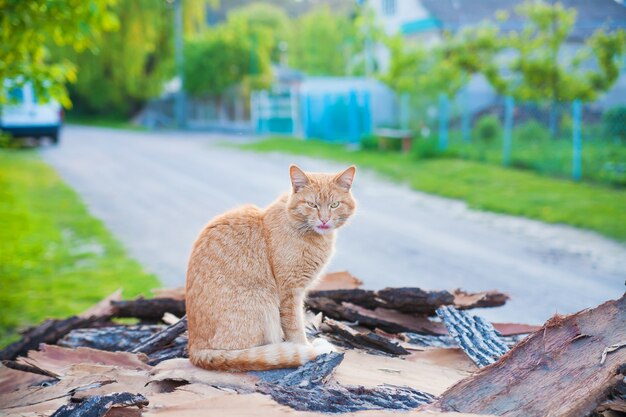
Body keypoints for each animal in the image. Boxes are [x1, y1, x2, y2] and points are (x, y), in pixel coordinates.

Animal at [185, 164, 356, 368]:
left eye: (334, 205)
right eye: (311, 204)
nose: (324, 220)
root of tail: (194, 349)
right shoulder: (290, 291)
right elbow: (295, 327)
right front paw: (306, 347)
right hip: (263, 300)